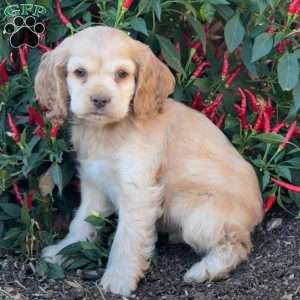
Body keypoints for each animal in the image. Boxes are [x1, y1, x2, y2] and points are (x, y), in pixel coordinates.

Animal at [35, 26, 264, 298]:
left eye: (122, 74)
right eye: (80, 72)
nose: (100, 100)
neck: (108, 131)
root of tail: (259, 211)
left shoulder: (138, 191)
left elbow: (126, 237)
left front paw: (119, 278)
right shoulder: (94, 182)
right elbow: (81, 222)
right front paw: (63, 251)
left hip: (188, 206)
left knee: (238, 242)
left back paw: (205, 270)